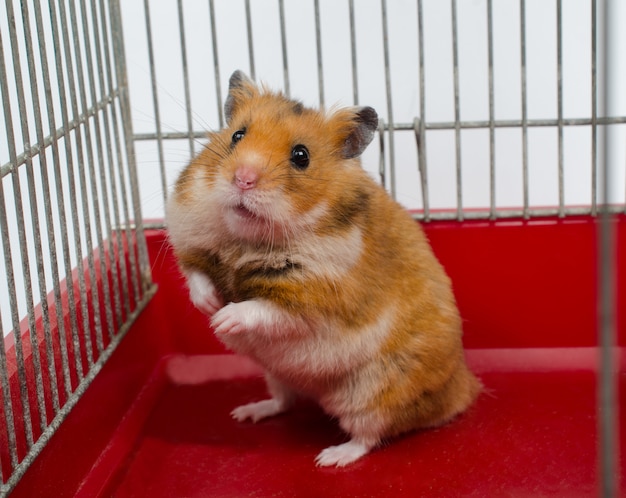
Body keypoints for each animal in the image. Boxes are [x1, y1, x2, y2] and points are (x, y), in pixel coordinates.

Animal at [165, 70, 478, 466]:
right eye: (237, 135)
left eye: (301, 156)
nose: (243, 179)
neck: (247, 241)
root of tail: (462, 389)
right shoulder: (190, 239)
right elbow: (197, 275)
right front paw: (209, 306)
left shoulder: (314, 301)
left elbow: (263, 309)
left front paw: (222, 319)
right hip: (276, 374)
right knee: (283, 401)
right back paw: (247, 412)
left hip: (373, 394)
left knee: (369, 435)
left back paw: (330, 457)